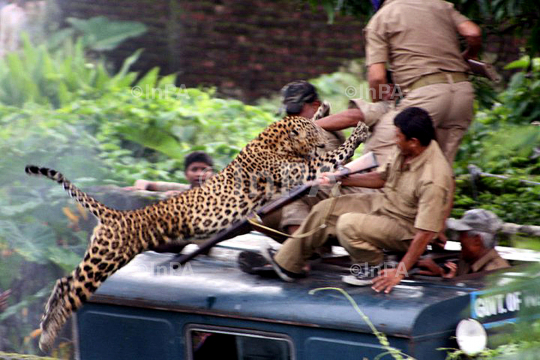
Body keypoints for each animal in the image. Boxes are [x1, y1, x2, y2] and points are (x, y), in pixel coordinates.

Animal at [26, 102, 372, 352]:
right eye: (313, 135)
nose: (322, 138)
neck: (274, 141)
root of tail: (116, 214)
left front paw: (325, 111)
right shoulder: (307, 170)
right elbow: (336, 155)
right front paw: (359, 130)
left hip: (99, 257)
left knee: (64, 282)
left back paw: (45, 325)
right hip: (104, 261)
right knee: (72, 290)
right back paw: (47, 336)